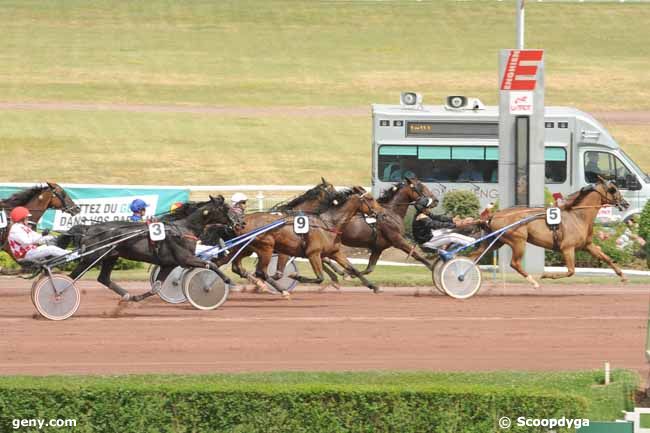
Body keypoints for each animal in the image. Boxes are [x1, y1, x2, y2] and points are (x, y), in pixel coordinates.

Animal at [60, 196, 240, 300]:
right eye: (226, 208)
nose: (238, 222)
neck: (183, 228)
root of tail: (88, 228)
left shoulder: (169, 264)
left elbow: (156, 287)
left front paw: (138, 298)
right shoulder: (186, 258)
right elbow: (212, 264)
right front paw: (228, 281)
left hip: (111, 256)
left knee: (103, 278)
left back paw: (127, 296)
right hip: (92, 258)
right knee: (70, 277)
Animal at [476, 177, 628, 288]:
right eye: (613, 189)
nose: (626, 203)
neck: (578, 216)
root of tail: (495, 215)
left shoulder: (587, 245)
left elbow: (606, 258)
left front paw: (623, 276)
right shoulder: (567, 248)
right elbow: (571, 271)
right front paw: (546, 275)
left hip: (496, 242)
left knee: (475, 255)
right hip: (518, 240)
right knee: (515, 263)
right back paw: (533, 281)